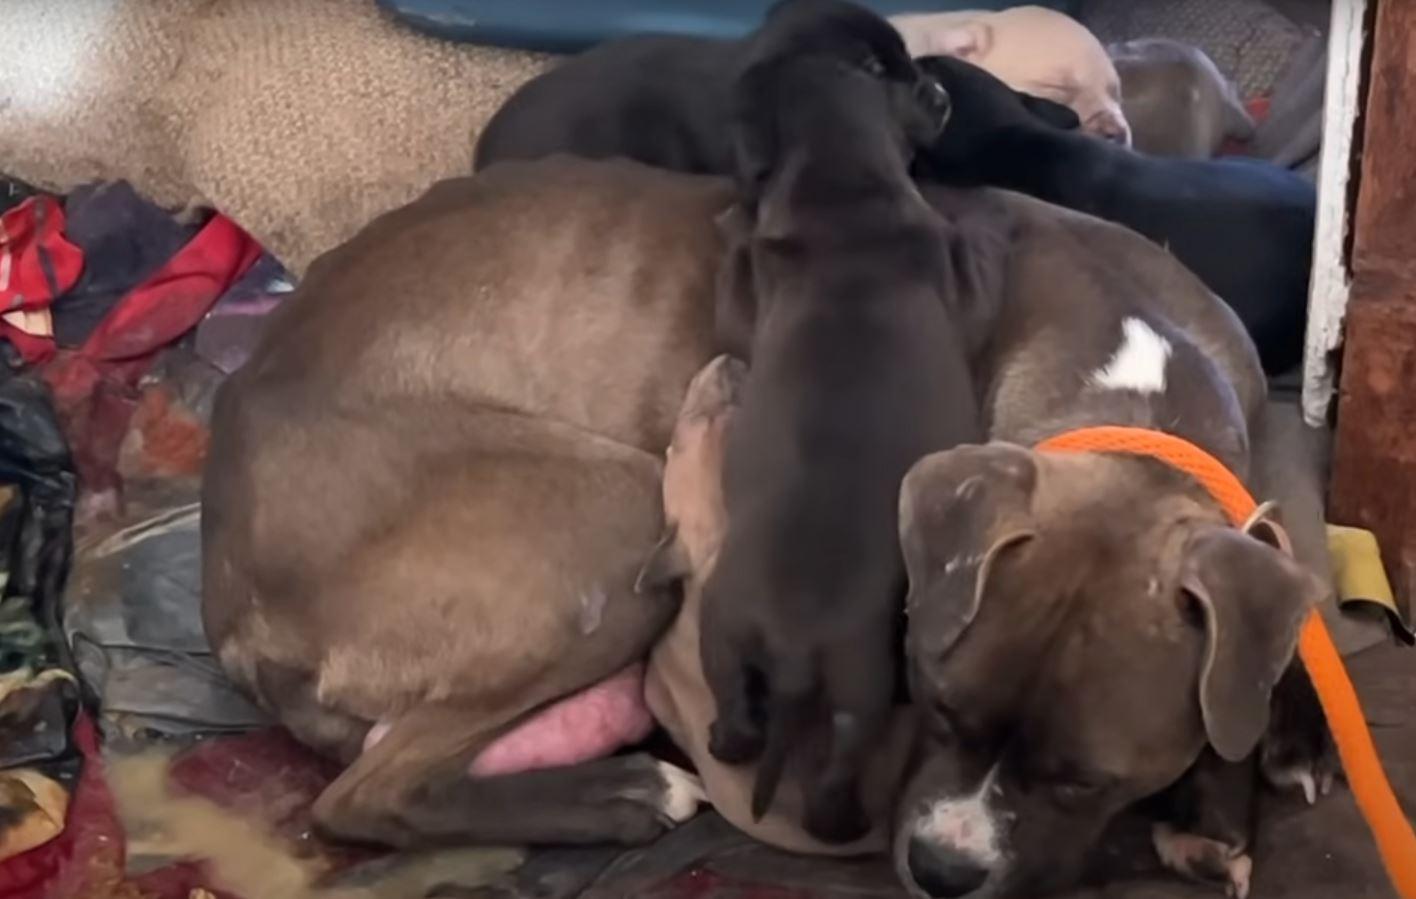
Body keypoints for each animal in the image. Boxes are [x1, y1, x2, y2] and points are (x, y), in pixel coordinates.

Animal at [693, 0, 974, 849]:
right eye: (895, 73)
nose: (944, 90)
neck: (839, 181)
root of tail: (789, 647)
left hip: (720, 633)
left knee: (738, 723)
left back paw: (725, 739)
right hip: (860, 685)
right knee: (836, 765)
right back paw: (845, 823)